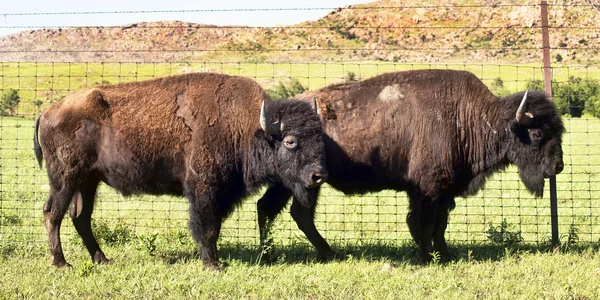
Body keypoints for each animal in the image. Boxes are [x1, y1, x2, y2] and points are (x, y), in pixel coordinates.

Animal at [34, 72, 328, 270]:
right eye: (290, 141)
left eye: (320, 137)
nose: (318, 175)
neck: (247, 126)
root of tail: (48, 111)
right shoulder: (203, 189)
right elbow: (206, 227)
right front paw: (213, 265)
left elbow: (214, 225)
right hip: (65, 178)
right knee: (53, 213)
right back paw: (61, 263)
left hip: (88, 181)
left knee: (80, 217)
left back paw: (102, 259)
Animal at [256, 69, 564, 262]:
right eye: (538, 133)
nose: (557, 166)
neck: (472, 117)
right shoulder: (427, 189)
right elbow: (422, 223)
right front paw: (428, 257)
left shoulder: (445, 191)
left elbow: (440, 224)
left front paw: (444, 255)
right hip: (298, 181)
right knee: (281, 211)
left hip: (302, 182)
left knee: (284, 211)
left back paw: (313, 253)